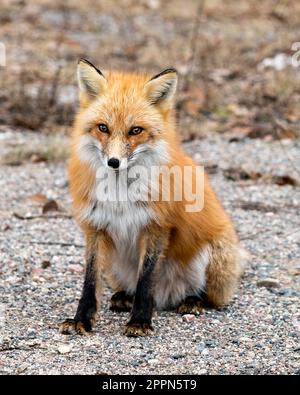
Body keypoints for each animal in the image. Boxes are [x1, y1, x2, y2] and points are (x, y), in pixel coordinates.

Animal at [59, 58, 246, 338]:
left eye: (136, 130)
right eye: (103, 128)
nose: (113, 162)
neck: (120, 193)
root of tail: (166, 297)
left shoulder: (156, 226)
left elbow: (146, 280)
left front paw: (140, 322)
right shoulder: (96, 226)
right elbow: (90, 282)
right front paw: (81, 319)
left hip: (212, 255)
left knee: (208, 297)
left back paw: (192, 301)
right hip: (115, 265)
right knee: (127, 285)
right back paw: (123, 296)